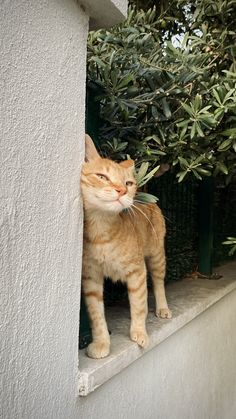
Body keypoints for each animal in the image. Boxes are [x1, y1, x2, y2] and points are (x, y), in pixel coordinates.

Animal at [81, 136, 171, 360]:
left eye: (128, 183)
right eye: (102, 177)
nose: (122, 191)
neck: (102, 233)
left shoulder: (137, 272)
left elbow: (138, 306)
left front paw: (139, 332)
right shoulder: (91, 278)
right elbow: (96, 316)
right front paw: (102, 343)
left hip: (157, 257)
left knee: (158, 283)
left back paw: (162, 308)